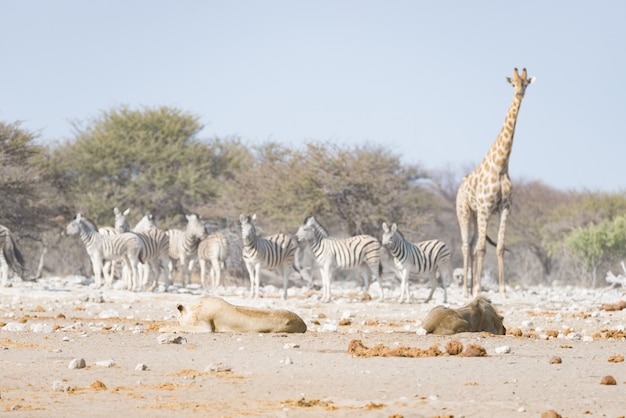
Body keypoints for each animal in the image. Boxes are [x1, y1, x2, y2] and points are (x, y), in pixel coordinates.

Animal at [454, 68, 532, 298]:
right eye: (513, 83)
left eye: (526, 83)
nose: (519, 94)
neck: (501, 166)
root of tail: (459, 189)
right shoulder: (485, 208)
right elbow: (482, 248)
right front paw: (479, 289)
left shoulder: (505, 208)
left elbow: (499, 246)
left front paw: (503, 290)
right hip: (465, 212)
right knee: (466, 246)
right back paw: (466, 291)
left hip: (474, 214)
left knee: (471, 246)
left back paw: (471, 287)